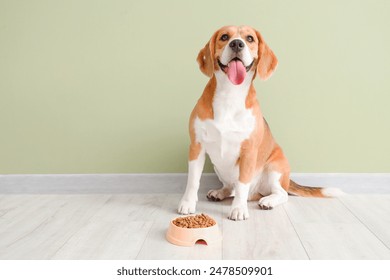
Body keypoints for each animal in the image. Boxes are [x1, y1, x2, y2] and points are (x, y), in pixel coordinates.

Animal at [177, 25, 342, 220]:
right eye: (224, 37)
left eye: (249, 38)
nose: (237, 44)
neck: (230, 94)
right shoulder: (196, 146)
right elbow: (193, 181)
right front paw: (187, 204)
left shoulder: (248, 152)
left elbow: (242, 184)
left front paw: (238, 209)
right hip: (220, 169)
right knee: (231, 187)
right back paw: (221, 192)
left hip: (274, 169)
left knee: (280, 193)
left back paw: (268, 201)